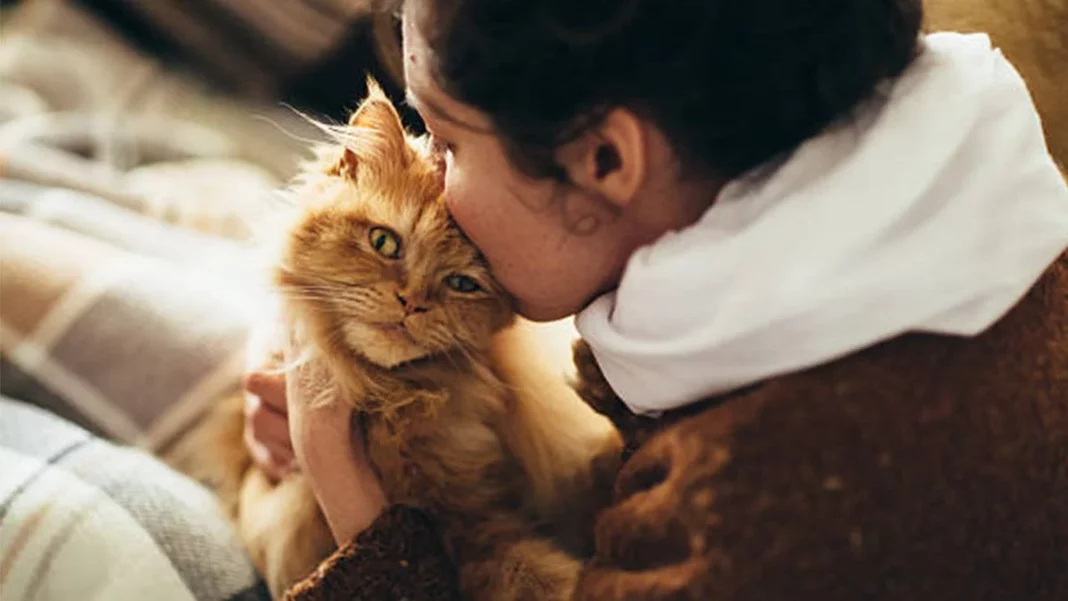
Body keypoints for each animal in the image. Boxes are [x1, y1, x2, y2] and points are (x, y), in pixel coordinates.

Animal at [183, 83, 619, 601]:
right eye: (384, 242)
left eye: (461, 284)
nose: (412, 303)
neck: (400, 403)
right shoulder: (458, 527)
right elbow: (530, 571)